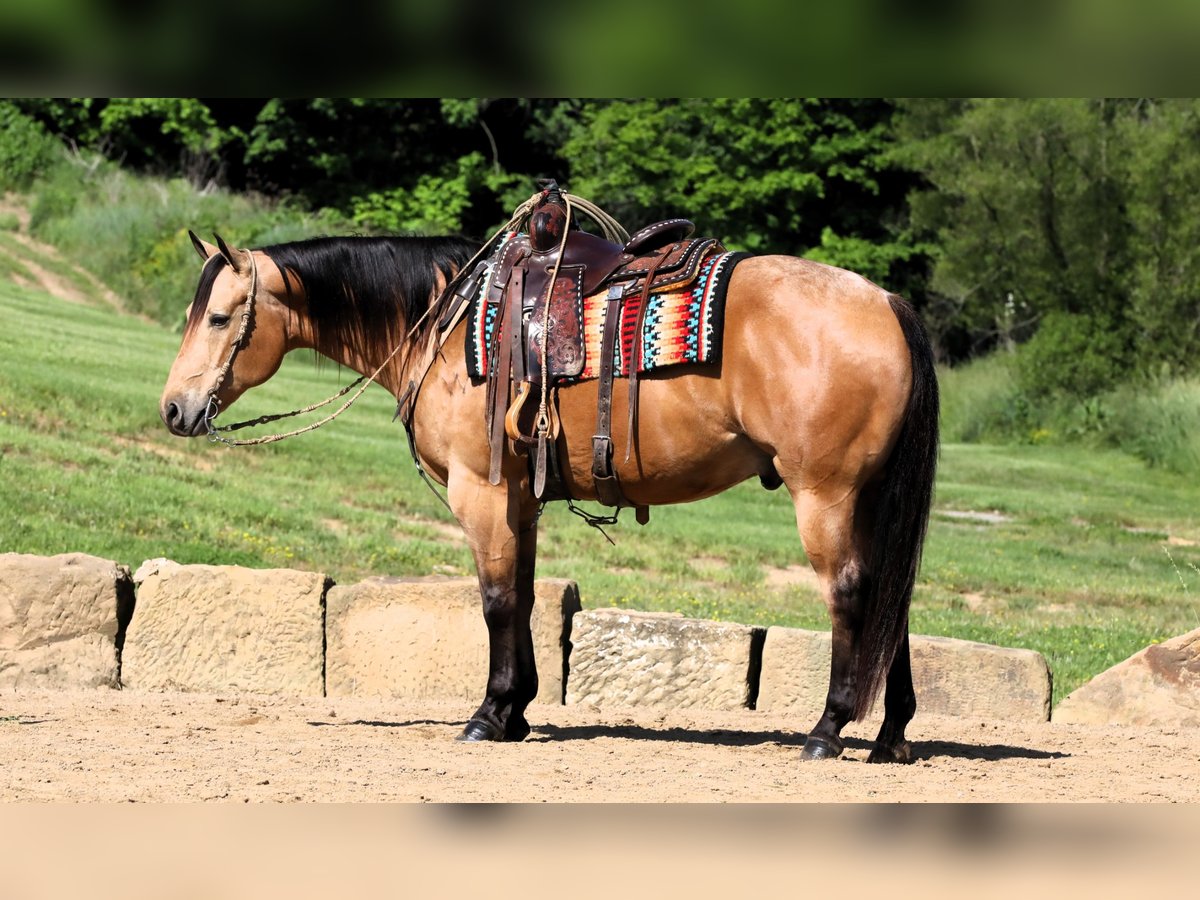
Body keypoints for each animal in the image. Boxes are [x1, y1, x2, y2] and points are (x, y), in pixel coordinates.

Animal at [157, 206, 936, 768]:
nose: (174, 409)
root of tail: (885, 301)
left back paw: (828, 729)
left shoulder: (480, 492)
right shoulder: (517, 499)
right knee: (891, 602)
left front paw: (488, 714)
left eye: (219, 318)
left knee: (853, 595)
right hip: (867, 498)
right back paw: (890, 735)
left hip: (826, 496)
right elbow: (525, 596)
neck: (445, 326)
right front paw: (518, 711)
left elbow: (497, 601)